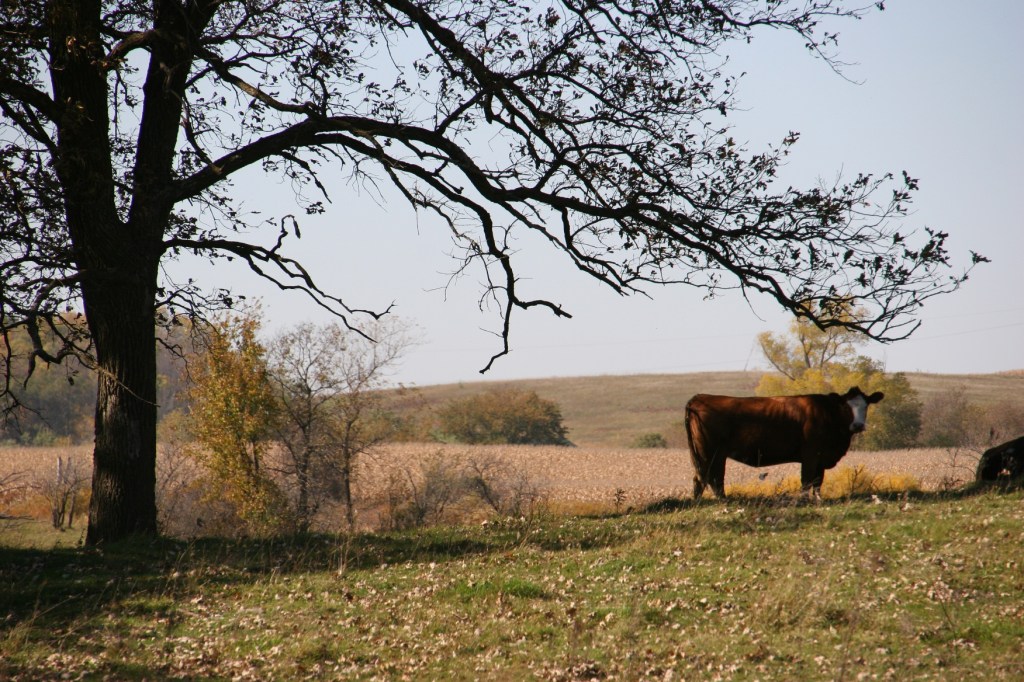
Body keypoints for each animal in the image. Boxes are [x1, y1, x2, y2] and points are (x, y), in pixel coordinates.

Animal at [684, 387, 884, 499]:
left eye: (866, 406)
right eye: (845, 406)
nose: (858, 425)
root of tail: (700, 397)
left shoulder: (821, 458)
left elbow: (818, 481)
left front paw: (818, 499)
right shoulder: (811, 454)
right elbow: (807, 480)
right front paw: (804, 500)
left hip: (707, 455)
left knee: (703, 479)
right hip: (711, 454)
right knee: (711, 479)